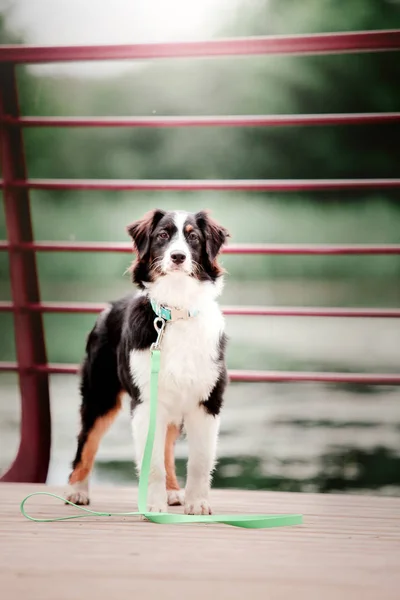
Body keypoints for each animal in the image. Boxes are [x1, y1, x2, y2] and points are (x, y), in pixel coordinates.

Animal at [65, 209, 228, 512]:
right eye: (162, 235)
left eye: (193, 237)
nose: (178, 256)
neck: (175, 312)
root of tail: (109, 307)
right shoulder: (145, 401)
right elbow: (151, 463)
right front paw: (153, 508)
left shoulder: (207, 401)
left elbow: (199, 461)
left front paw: (197, 504)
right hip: (100, 394)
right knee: (86, 440)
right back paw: (77, 491)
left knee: (166, 447)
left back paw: (173, 492)